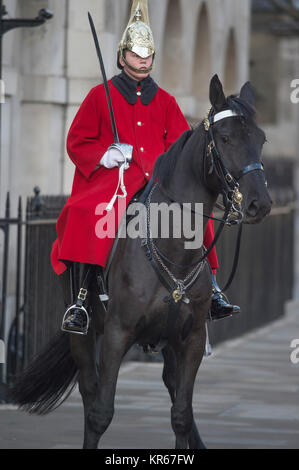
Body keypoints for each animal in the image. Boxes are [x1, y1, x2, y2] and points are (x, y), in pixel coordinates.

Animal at [10, 76, 274, 448]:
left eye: (260, 138)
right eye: (225, 138)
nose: (258, 204)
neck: (174, 250)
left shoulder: (192, 338)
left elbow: (181, 414)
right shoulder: (116, 335)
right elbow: (100, 412)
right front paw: (116, 156)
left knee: (174, 391)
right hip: (83, 333)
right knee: (89, 390)